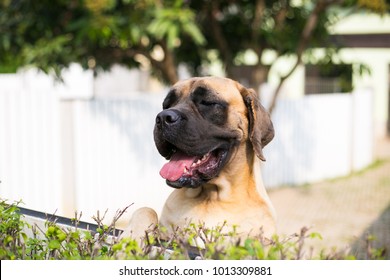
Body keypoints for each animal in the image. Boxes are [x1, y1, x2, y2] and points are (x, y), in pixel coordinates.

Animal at [120, 76, 276, 243]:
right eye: (167, 104)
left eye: (207, 102)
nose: (163, 117)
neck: (211, 196)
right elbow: (146, 210)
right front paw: (131, 237)